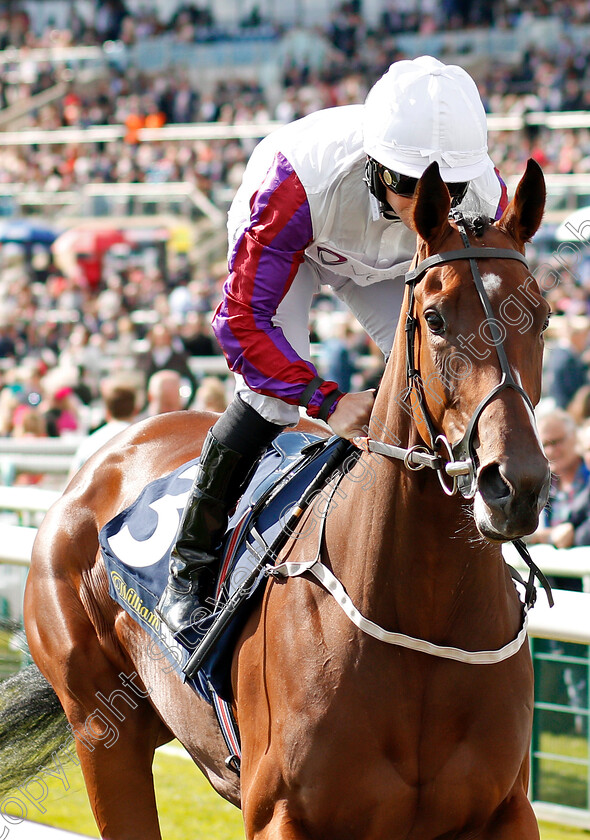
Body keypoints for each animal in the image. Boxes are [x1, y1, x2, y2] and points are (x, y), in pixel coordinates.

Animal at [2, 159, 552, 840]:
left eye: (543, 315)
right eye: (436, 318)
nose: (516, 485)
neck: (422, 617)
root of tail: (101, 461)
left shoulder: (506, 810)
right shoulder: (281, 814)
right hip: (102, 731)